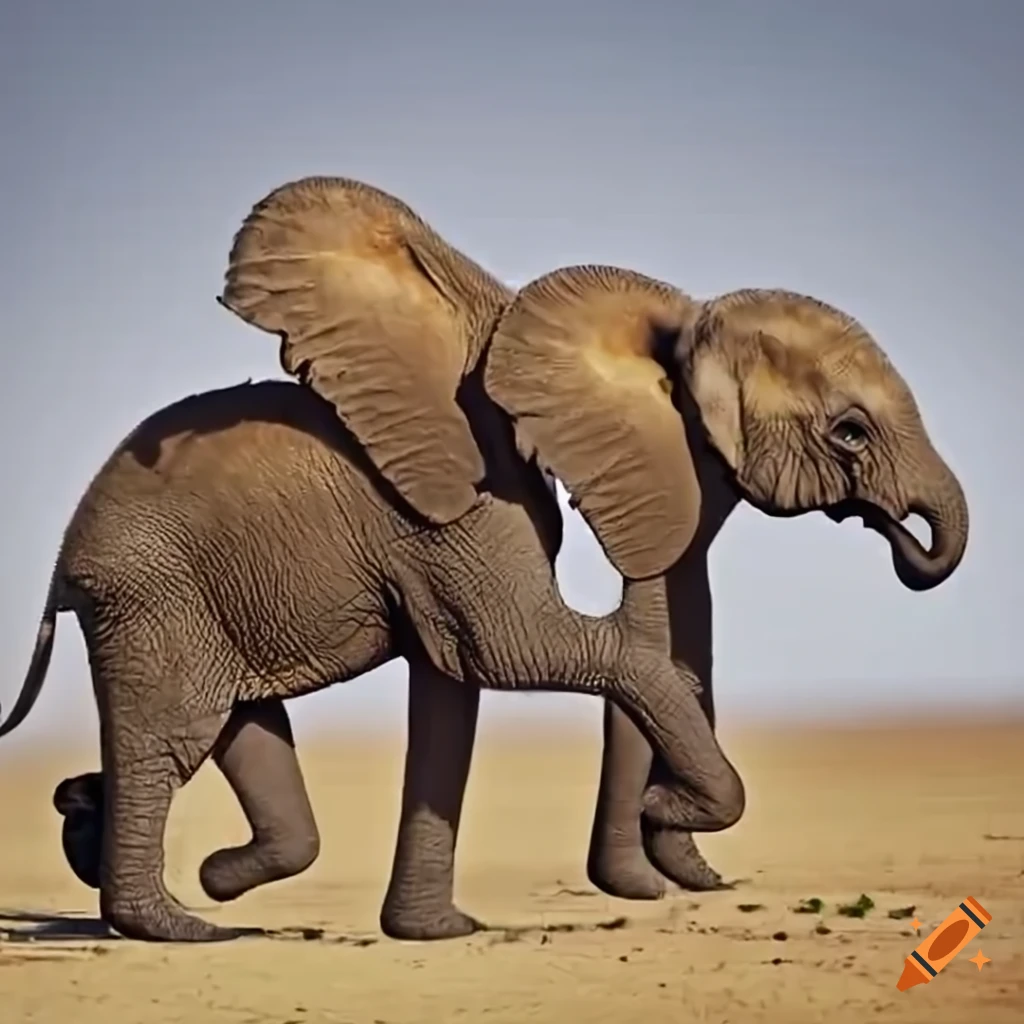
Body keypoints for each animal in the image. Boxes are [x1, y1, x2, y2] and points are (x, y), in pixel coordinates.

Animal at [1, 177, 968, 944]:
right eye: (850, 432)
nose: (898, 536)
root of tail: (61, 561)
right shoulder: (462, 498)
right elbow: (520, 652)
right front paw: (669, 816)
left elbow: (452, 690)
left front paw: (436, 934)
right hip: (149, 592)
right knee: (171, 741)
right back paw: (178, 928)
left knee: (237, 731)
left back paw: (109, 834)